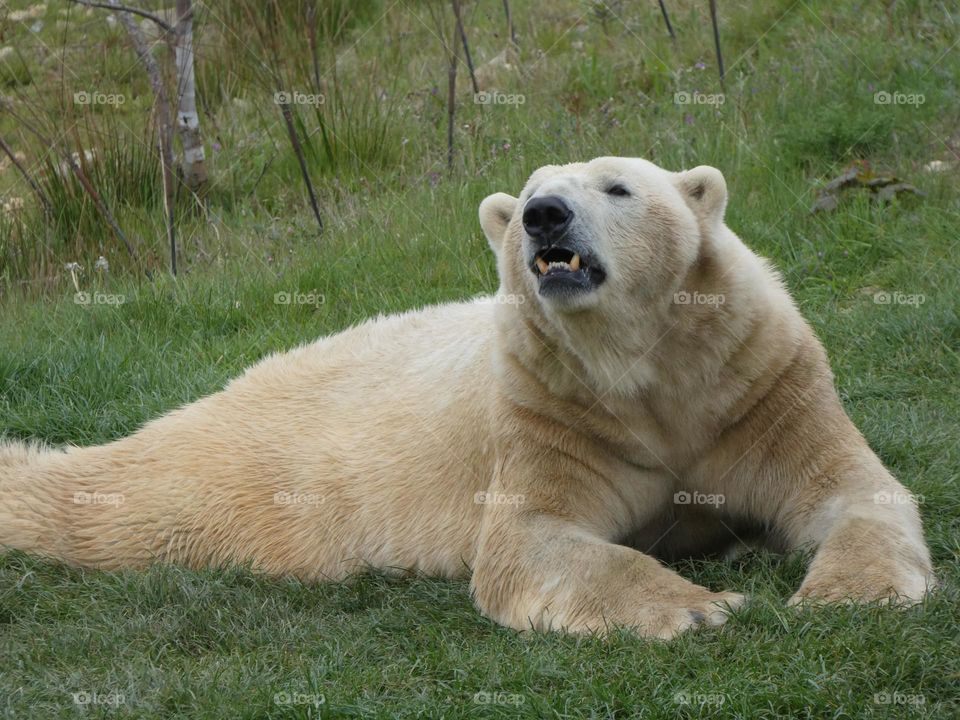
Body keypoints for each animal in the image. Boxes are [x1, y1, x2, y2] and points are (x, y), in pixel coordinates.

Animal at [0, 157, 934, 639]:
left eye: (619, 186)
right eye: (523, 201)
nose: (545, 215)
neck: (646, 372)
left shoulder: (759, 382)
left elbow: (854, 491)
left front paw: (844, 592)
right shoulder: (552, 410)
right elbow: (531, 541)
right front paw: (701, 607)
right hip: (247, 479)